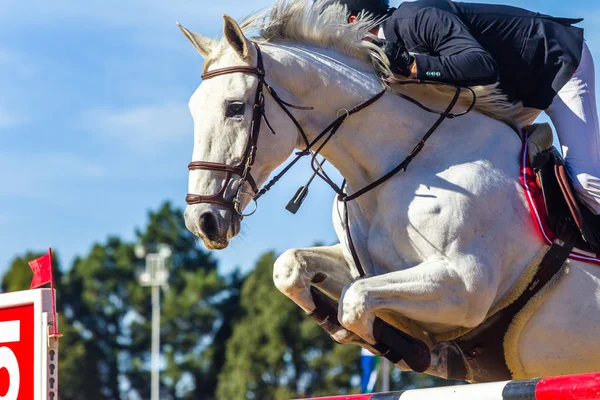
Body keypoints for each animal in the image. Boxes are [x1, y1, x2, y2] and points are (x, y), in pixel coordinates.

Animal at [180, 0, 600, 382]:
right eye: (194, 110)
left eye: (235, 108)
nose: (202, 220)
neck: (406, 163)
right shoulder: (362, 265)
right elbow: (290, 267)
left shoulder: (465, 287)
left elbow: (355, 300)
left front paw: (416, 352)